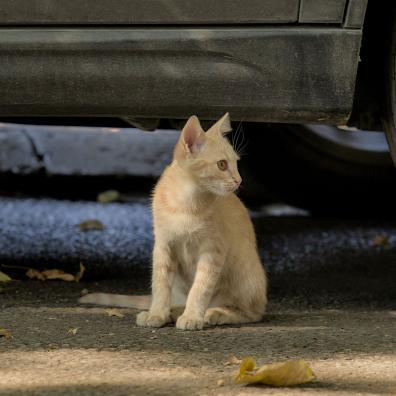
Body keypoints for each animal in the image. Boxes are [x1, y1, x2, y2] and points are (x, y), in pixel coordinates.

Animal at [80, 114, 266, 332]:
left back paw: (216, 313)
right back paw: (174, 311)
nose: (239, 180)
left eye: (236, 163)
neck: (186, 202)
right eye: (221, 164)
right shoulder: (163, 245)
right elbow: (160, 284)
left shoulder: (213, 251)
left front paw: (193, 316)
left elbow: (201, 287)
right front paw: (157, 313)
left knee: (253, 312)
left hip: (245, 272)